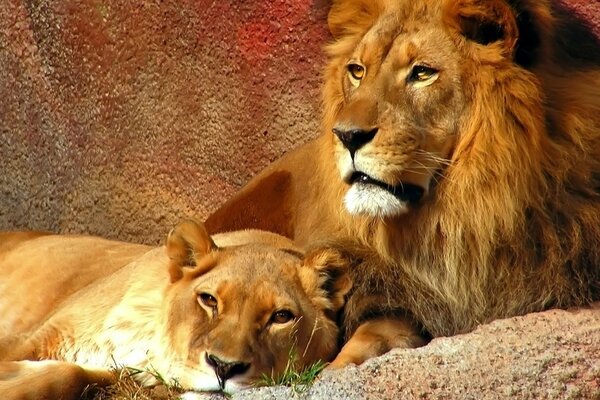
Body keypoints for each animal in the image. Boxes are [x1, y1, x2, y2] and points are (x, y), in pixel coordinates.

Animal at [0, 220, 352, 398]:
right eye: (209, 300)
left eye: (281, 317)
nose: (225, 367)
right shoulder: (36, 336)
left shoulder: (116, 371)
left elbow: (69, 374)